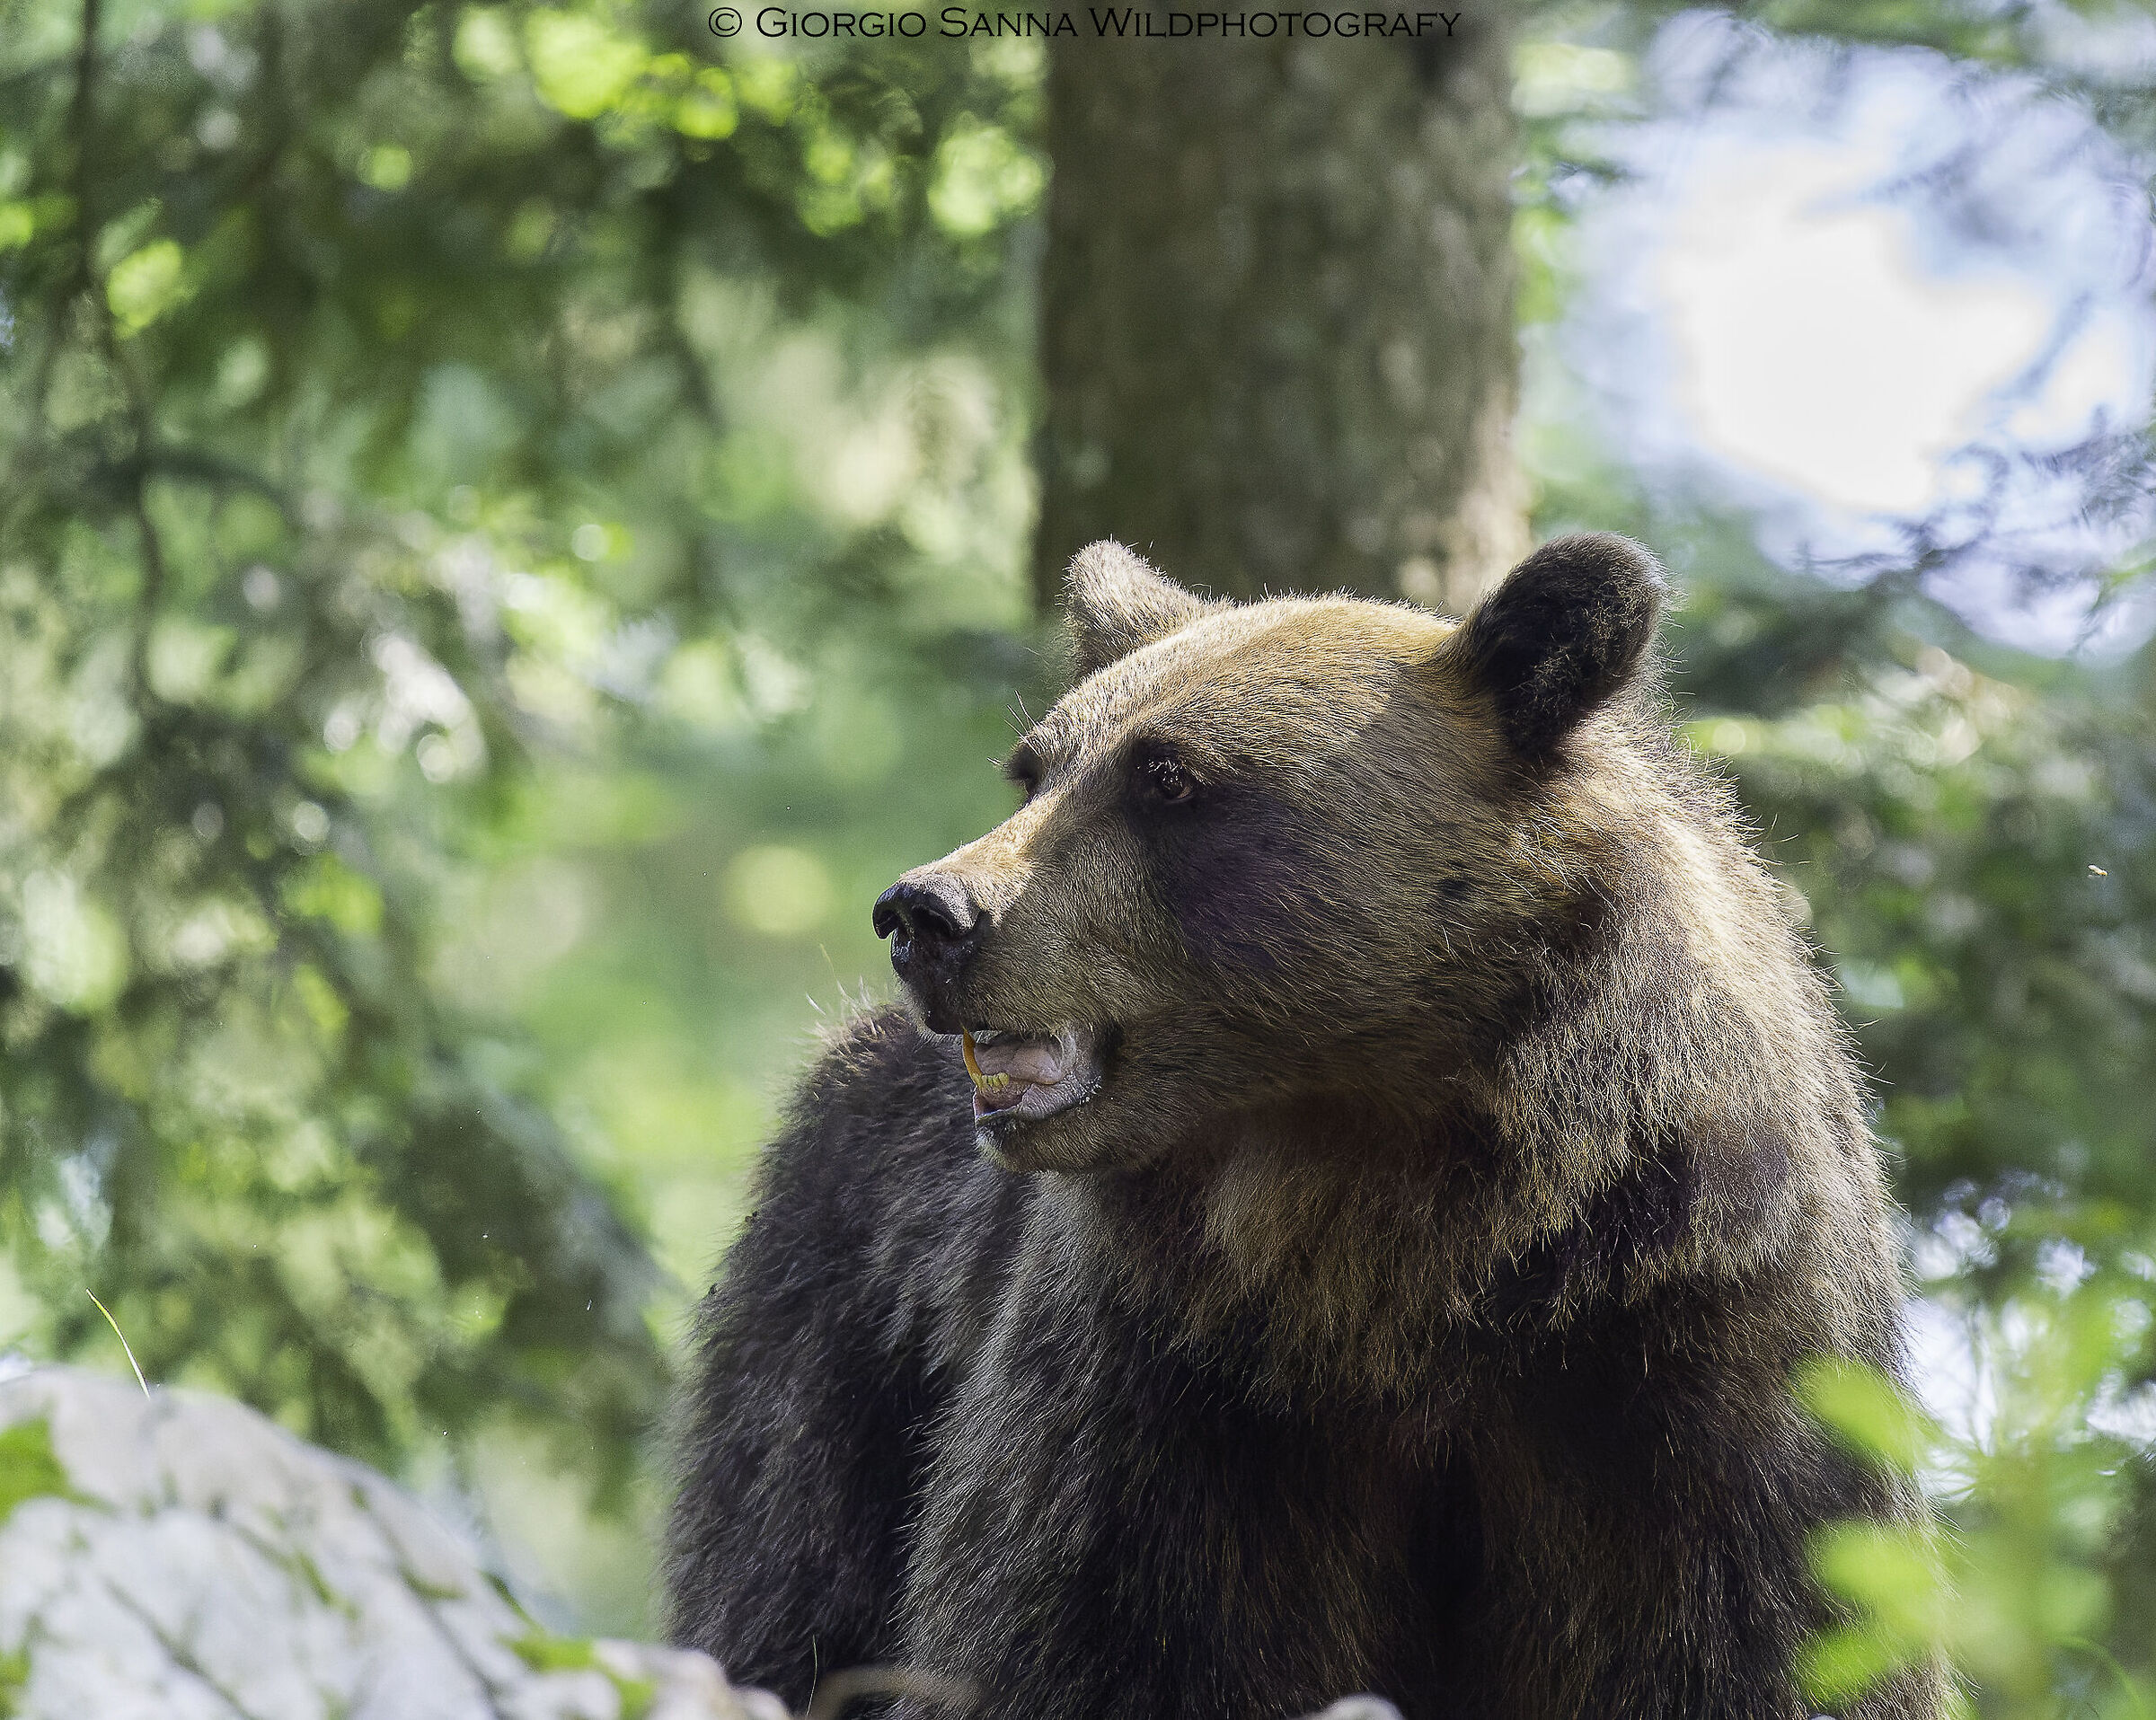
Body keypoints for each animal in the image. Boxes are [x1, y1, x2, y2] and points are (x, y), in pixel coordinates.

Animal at [666, 535, 1941, 1720]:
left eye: (1168, 776)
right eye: (1033, 767)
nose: (926, 912)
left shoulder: (1701, 1366)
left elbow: (1752, 1643)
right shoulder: (1177, 1402)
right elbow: (1087, 1637)